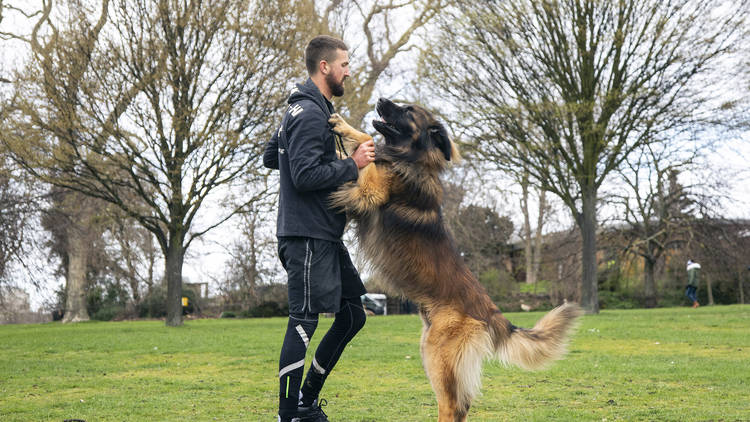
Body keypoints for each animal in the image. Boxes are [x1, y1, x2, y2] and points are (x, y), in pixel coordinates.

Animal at [328, 99, 580, 422]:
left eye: (408, 110)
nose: (382, 100)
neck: (412, 158)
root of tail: (492, 312)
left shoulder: (369, 191)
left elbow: (368, 144)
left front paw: (344, 128)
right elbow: (360, 149)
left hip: (439, 356)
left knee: (451, 406)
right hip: (432, 352)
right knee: (460, 406)